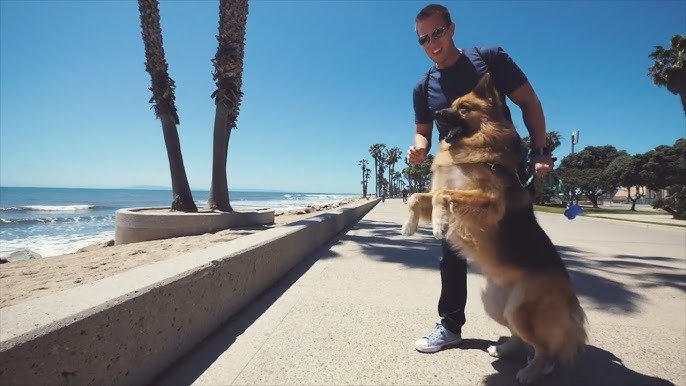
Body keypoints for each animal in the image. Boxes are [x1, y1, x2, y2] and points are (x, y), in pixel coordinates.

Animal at [406, 73, 588, 382]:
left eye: (464, 108)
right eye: (451, 104)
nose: (436, 114)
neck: (474, 147)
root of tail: (569, 294)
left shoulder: (488, 203)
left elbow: (443, 196)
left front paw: (440, 225)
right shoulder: (442, 194)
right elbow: (416, 196)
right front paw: (409, 226)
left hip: (522, 310)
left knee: (543, 347)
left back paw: (532, 371)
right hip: (495, 304)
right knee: (520, 336)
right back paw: (503, 351)